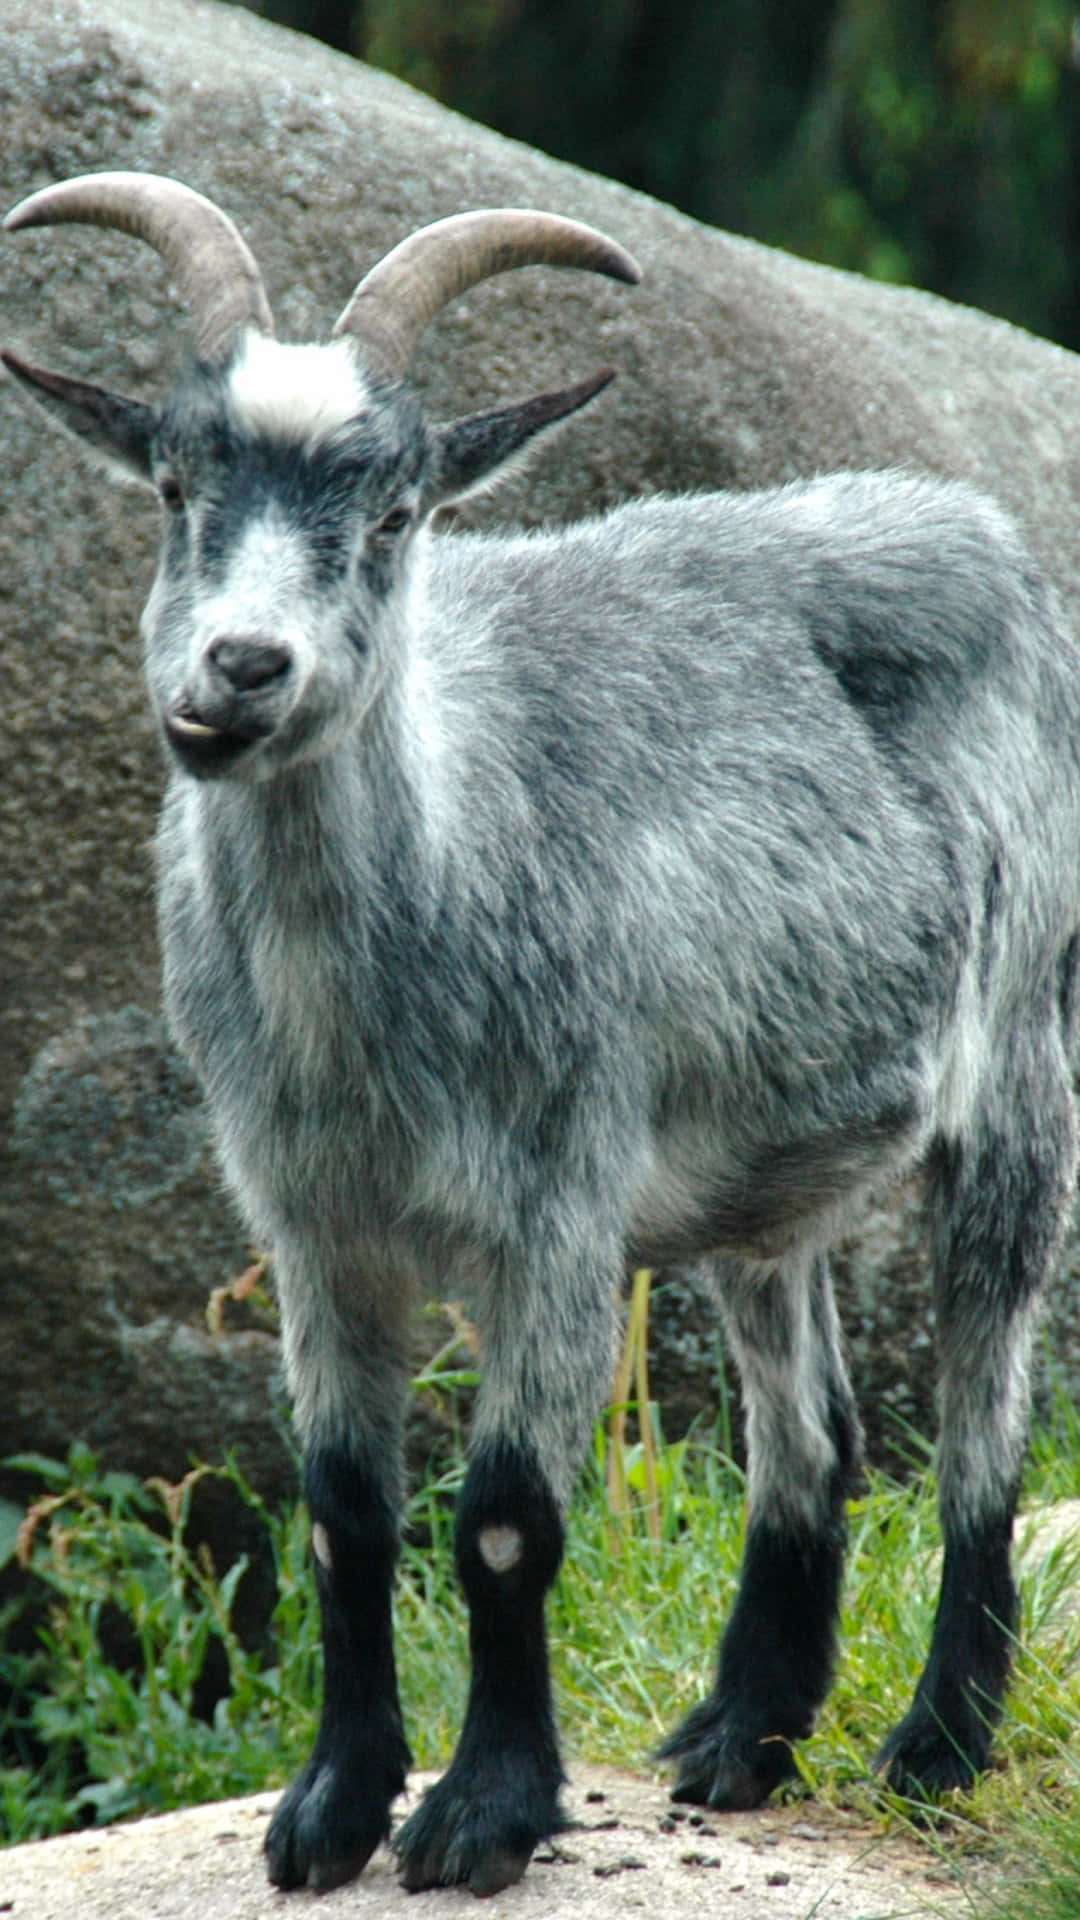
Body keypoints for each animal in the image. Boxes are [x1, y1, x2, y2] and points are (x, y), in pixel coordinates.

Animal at [8, 168, 1076, 1904]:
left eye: (394, 515)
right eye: (173, 487)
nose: (241, 669)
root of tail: (977, 527)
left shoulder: (559, 1205)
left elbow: (505, 1521)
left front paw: (482, 1816)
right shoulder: (314, 1226)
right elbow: (342, 1514)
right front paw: (328, 1811)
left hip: (1023, 1058)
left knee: (987, 1415)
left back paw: (934, 1747)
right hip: (765, 1165)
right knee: (815, 1430)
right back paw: (741, 1737)